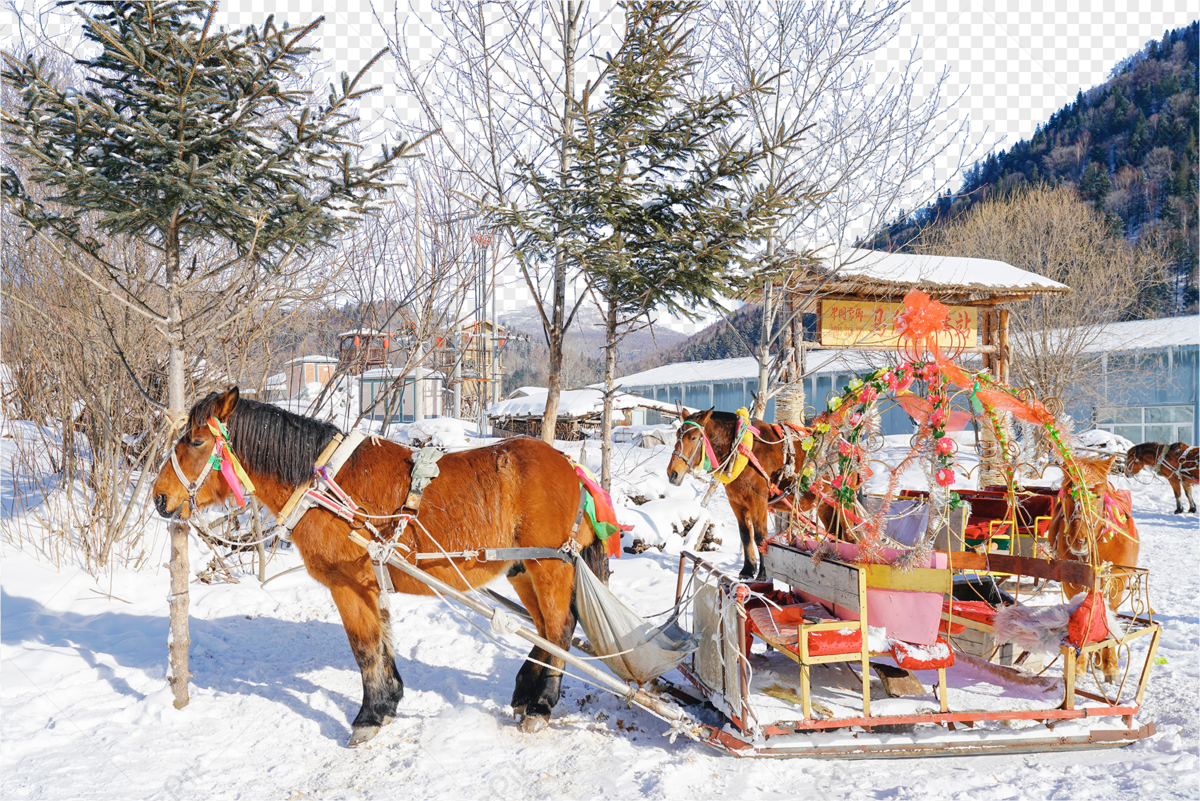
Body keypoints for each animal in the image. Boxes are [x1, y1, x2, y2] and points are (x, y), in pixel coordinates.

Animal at [150, 388, 604, 743]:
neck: (324, 487)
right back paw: (526, 694)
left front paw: (368, 716)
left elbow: (365, 649)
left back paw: (541, 707)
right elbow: (383, 643)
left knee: (559, 629)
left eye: (195, 441)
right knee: (546, 629)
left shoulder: (348, 584)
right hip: (522, 570)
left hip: (548, 566)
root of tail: (570, 466)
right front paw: (389, 702)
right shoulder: (371, 584)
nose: (159, 497)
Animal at [662, 410, 811, 577]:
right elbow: (745, 535)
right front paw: (748, 569)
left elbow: (760, 537)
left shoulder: (758, 500)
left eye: (693, 437)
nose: (672, 473)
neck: (745, 451)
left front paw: (762, 573)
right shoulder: (736, 502)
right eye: (676, 434)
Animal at [1046, 455, 1137, 681]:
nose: (1079, 540)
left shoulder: (1116, 581)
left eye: (1097, 495)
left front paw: (1110, 665)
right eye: (1068, 493)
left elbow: (1108, 615)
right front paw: (1079, 665)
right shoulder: (1074, 582)